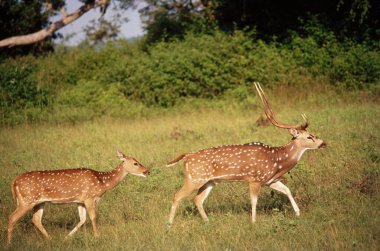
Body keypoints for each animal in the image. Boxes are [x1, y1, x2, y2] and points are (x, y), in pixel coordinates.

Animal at [7, 151, 150, 243]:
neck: (102, 182)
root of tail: (14, 181)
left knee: (36, 219)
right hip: (26, 200)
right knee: (12, 217)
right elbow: (93, 217)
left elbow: (82, 219)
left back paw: (51, 240)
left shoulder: (80, 201)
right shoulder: (89, 197)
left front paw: (67, 237)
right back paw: (9, 243)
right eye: (135, 163)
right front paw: (97, 236)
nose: (147, 171)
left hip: (39, 202)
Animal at [166, 83, 326, 225]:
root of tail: (187, 157)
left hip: (209, 181)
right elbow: (254, 200)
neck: (277, 160)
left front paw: (298, 213)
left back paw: (207, 221)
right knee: (177, 195)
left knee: (197, 199)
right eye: (309, 137)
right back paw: (169, 223)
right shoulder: (254, 179)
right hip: (194, 178)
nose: (323, 143)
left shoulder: (270, 180)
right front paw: (253, 222)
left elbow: (287, 190)